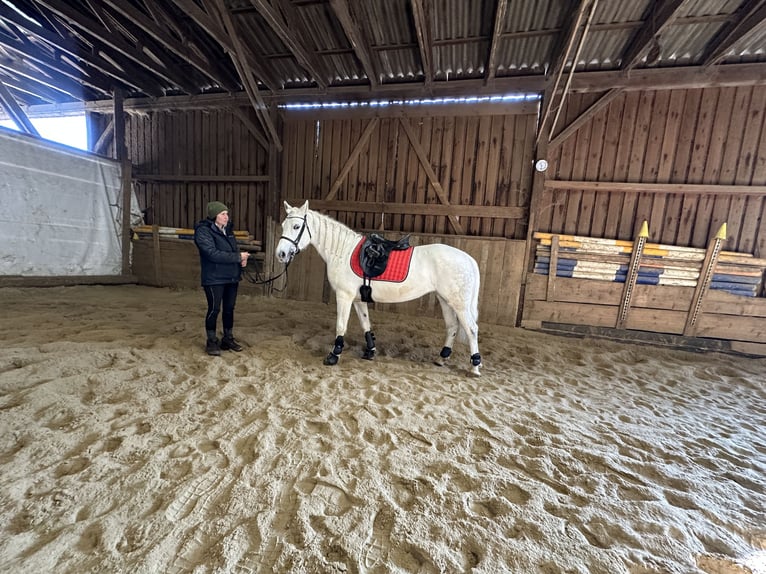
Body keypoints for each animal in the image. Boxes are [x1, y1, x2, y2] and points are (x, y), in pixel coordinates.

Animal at [275, 201, 483, 376]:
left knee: (471, 329)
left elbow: (341, 326)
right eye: (283, 225)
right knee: (452, 326)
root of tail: (469, 259)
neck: (343, 251)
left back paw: (475, 367)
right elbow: (366, 324)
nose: (281, 254)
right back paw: (442, 359)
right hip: (445, 300)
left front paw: (333, 356)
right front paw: (370, 352)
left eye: (296, 227)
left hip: (458, 303)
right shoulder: (358, 299)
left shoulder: (344, 296)